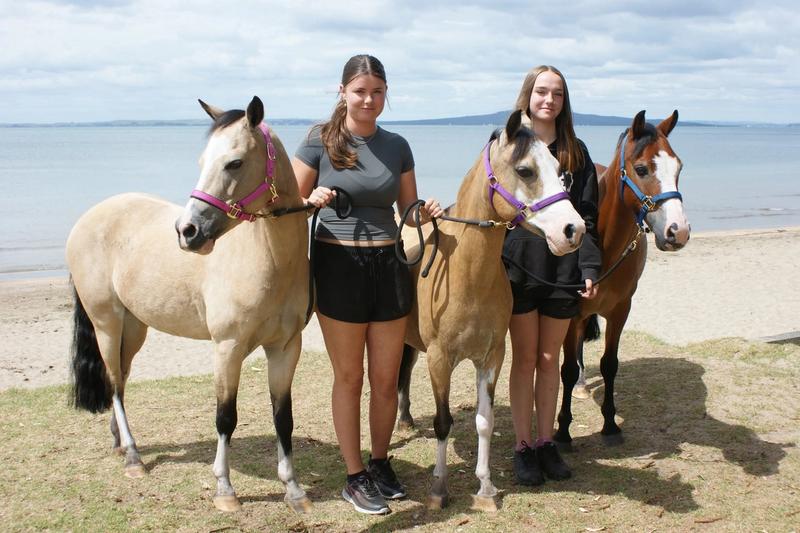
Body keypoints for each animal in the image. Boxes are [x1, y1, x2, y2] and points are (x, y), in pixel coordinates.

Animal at [66, 96, 312, 513]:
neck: (271, 260)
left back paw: (119, 443)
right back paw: (133, 457)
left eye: (234, 163)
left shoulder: (284, 348)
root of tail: (88, 218)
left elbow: (284, 418)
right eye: (202, 161)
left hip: (133, 328)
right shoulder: (228, 348)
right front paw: (225, 489)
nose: (188, 231)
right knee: (114, 383)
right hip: (106, 324)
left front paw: (294, 490)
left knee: (122, 380)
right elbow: (225, 417)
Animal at [397, 110, 586, 511]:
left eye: (560, 171)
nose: (573, 229)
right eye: (526, 170)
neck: (467, 274)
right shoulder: (440, 359)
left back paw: (403, 419)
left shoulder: (491, 357)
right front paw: (439, 489)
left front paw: (485, 488)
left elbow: (484, 421)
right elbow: (443, 422)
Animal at [554, 110, 690, 449]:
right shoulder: (572, 312)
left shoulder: (620, 310)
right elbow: (564, 369)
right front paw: (563, 430)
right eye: (641, 168)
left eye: (678, 166)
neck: (604, 245)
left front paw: (610, 425)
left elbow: (609, 364)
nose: (678, 232)